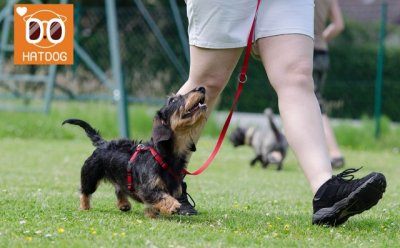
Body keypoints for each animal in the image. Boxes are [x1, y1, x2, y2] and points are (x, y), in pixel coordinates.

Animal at [63, 86, 206, 217]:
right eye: (173, 100)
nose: (201, 88)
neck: (163, 154)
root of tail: (104, 143)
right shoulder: (147, 189)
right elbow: (161, 197)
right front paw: (173, 205)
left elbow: (155, 203)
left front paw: (152, 214)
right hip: (90, 176)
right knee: (85, 192)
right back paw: (84, 207)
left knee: (119, 189)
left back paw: (124, 204)